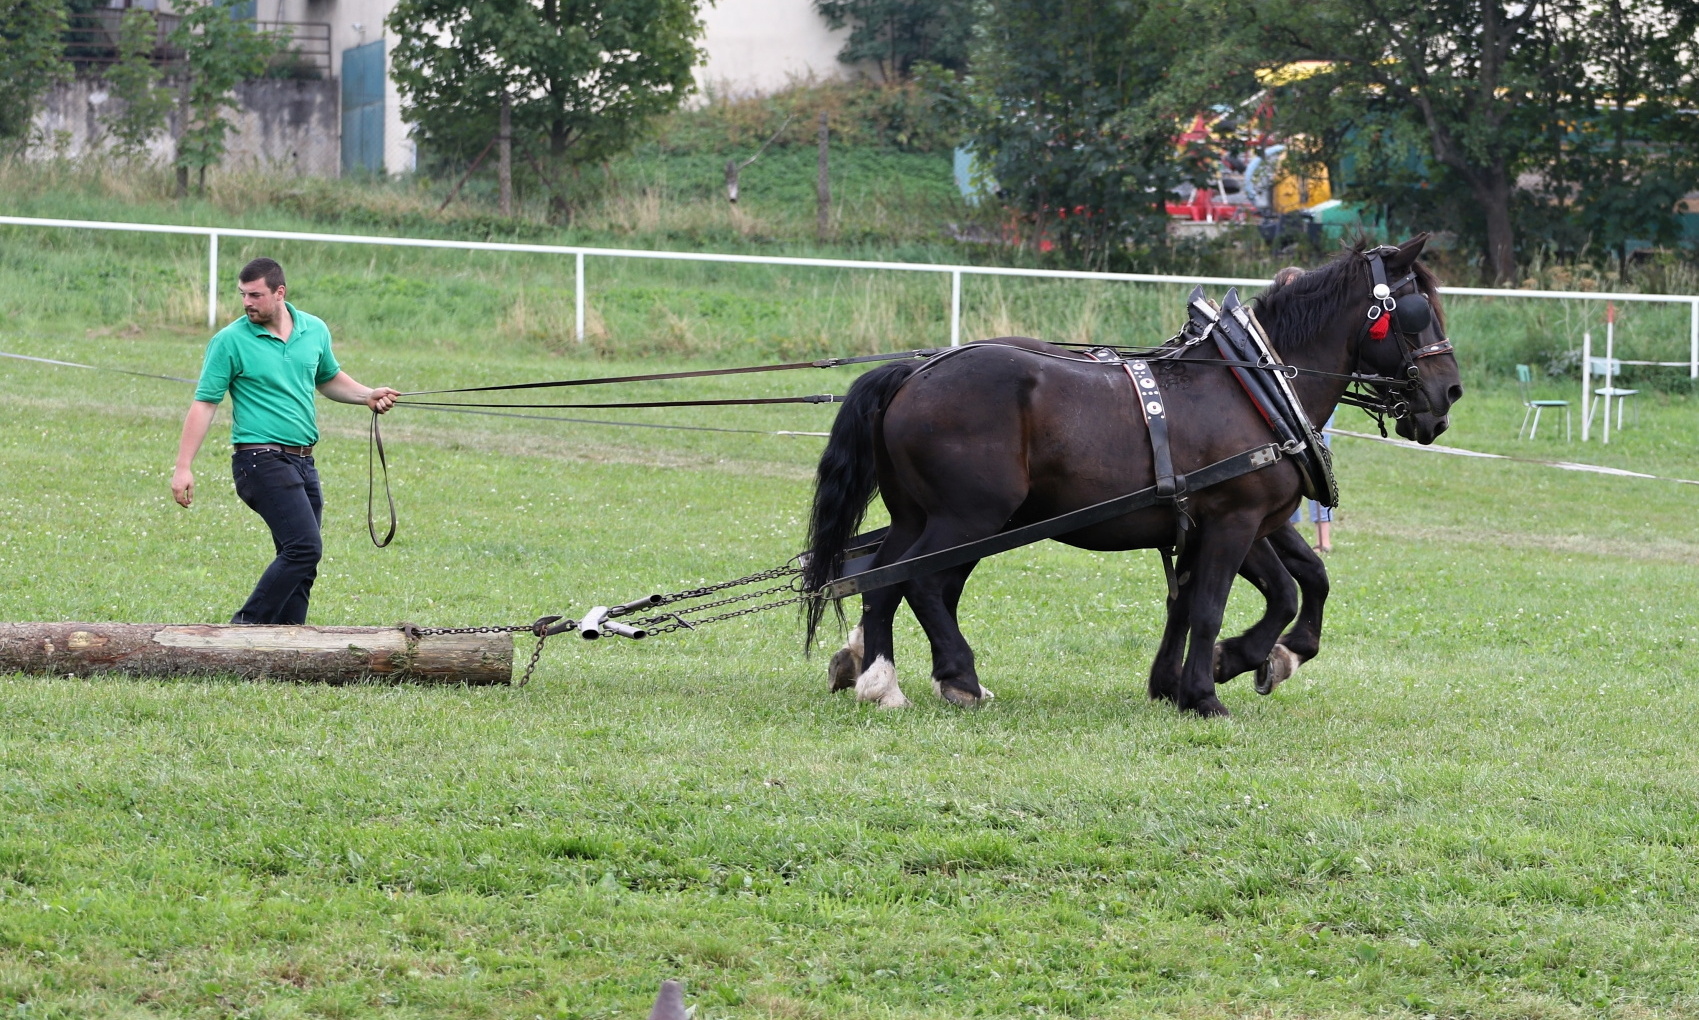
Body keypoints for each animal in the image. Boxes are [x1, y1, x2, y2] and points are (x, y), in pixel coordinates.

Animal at [795, 236, 1461, 717]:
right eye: (1415, 311)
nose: (1448, 394)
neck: (1256, 383)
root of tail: (913, 373)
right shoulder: (1233, 519)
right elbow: (1216, 604)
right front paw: (1211, 685)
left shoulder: (1248, 521)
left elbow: (1297, 583)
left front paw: (1246, 664)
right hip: (970, 517)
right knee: (919, 581)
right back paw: (951, 677)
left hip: (923, 515)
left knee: (885, 579)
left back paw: (881, 677)